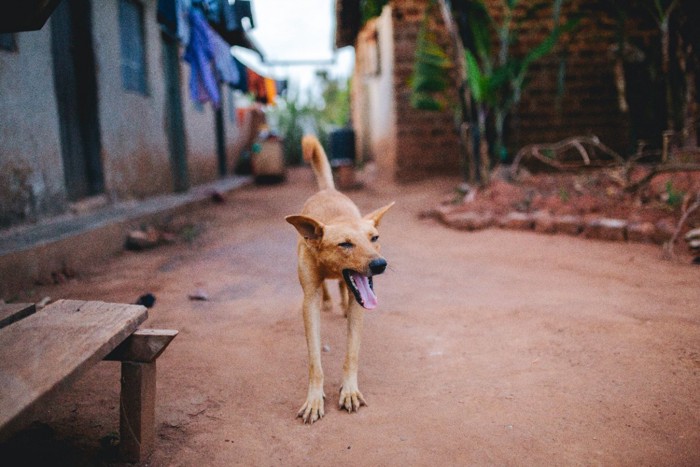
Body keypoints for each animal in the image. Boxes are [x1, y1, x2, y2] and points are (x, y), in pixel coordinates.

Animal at [286, 134, 394, 424]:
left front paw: (350, 391)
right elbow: (314, 359)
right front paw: (314, 399)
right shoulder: (308, 302)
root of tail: (327, 190)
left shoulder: (360, 304)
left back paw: (343, 302)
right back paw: (328, 300)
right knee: (327, 286)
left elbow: (352, 353)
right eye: (345, 244)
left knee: (344, 287)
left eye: (374, 238)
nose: (380, 265)